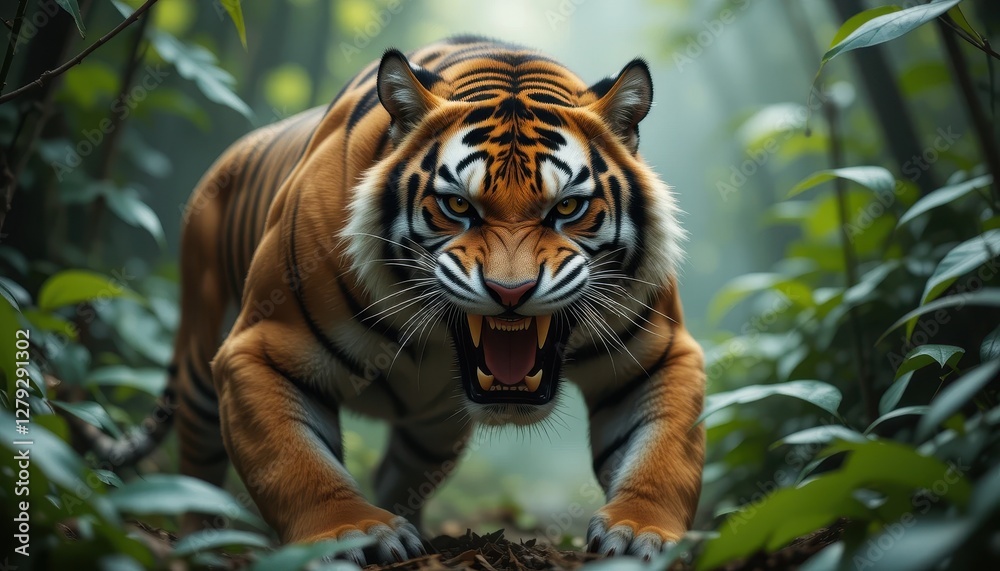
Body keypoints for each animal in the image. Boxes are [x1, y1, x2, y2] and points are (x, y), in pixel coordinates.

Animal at [85, 36, 705, 564]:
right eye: (458, 207)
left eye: (568, 208)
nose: (511, 292)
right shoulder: (258, 348)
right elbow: (296, 462)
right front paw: (353, 532)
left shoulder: (659, 356)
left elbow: (665, 453)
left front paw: (641, 534)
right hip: (198, 361)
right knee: (196, 474)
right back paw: (206, 544)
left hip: (433, 431)